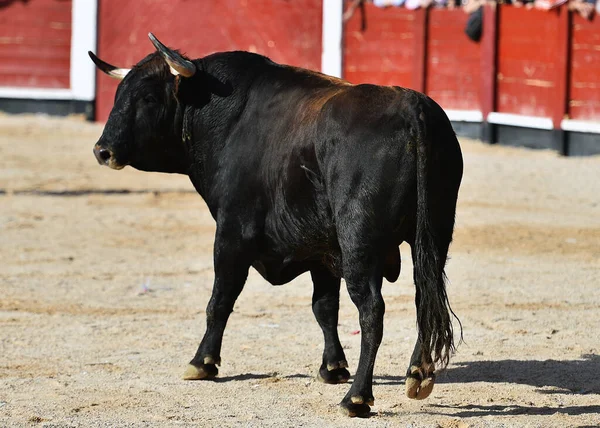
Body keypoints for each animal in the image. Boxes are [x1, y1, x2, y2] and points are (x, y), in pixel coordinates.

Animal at [89, 33, 464, 418]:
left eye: (148, 97)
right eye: (119, 95)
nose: (103, 151)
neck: (222, 114)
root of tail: (411, 107)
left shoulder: (232, 233)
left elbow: (220, 298)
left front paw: (201, 362)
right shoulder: (322, 249)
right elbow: (324, 307)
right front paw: (332, 368)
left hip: (359, 243)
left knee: (372, 310)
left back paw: (357, 397)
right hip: (432, 236)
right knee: (425, 296)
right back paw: (417, 374)